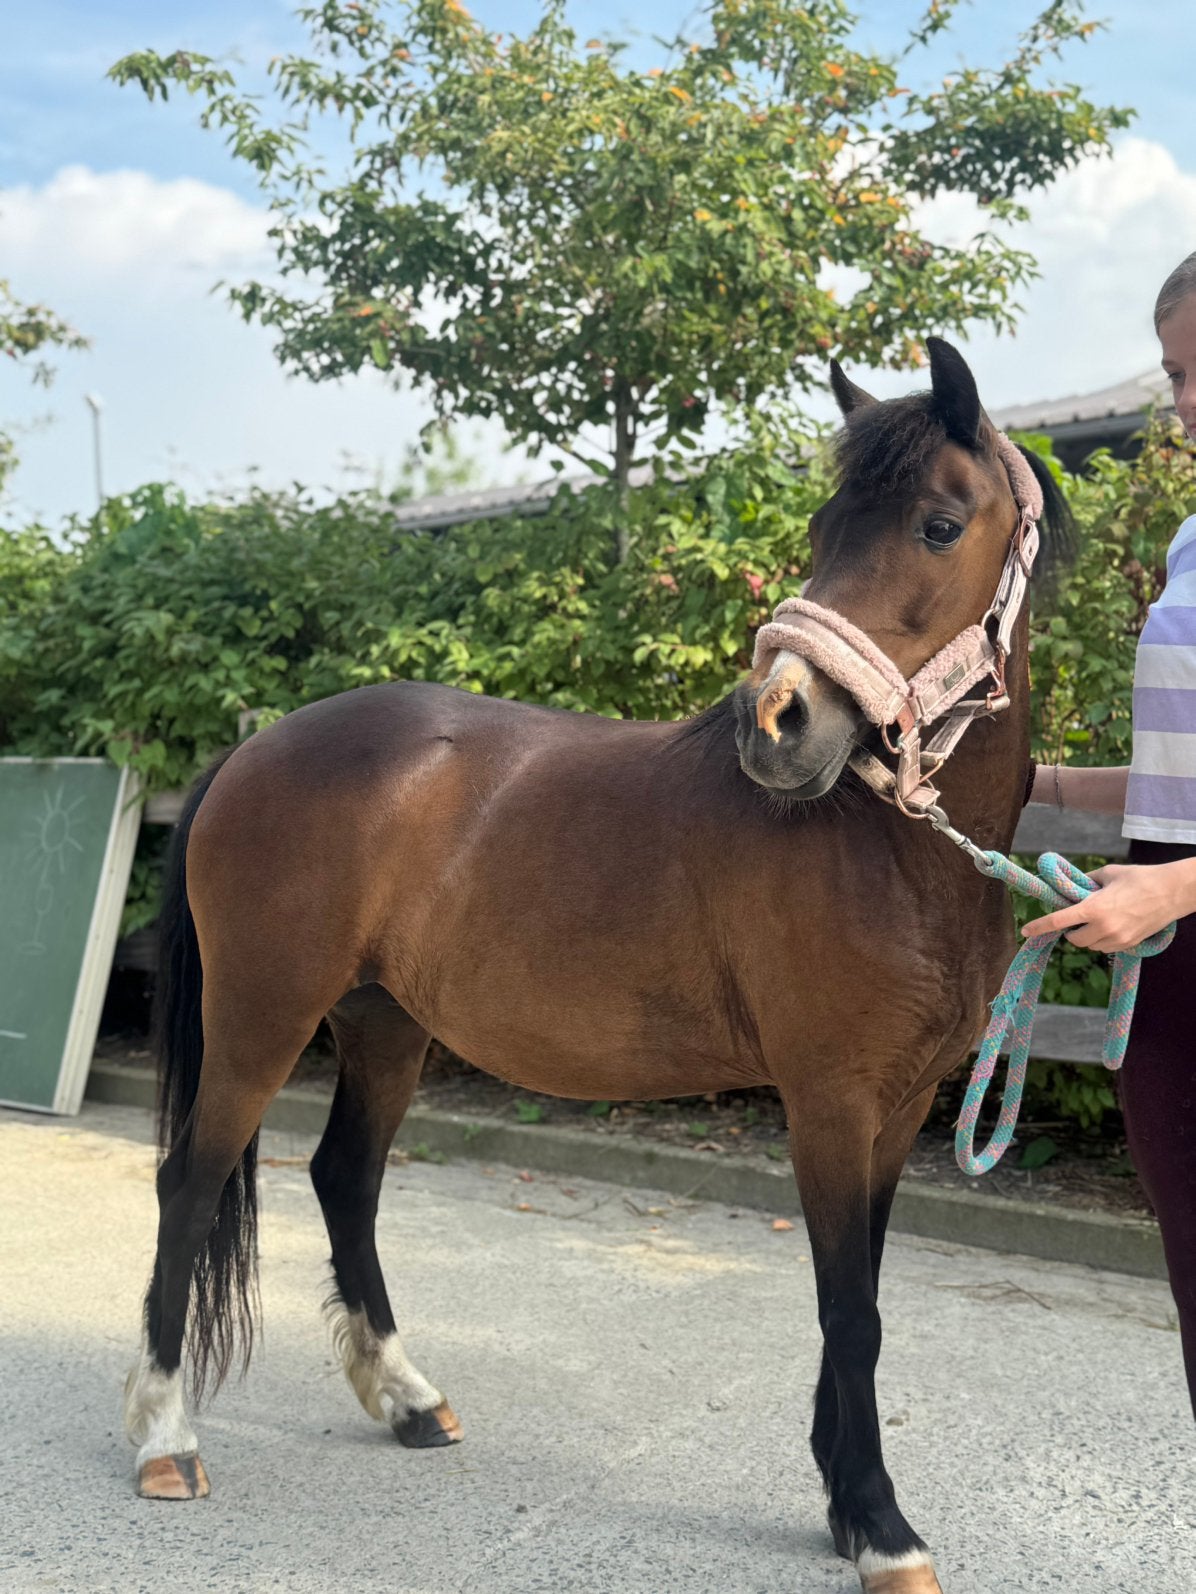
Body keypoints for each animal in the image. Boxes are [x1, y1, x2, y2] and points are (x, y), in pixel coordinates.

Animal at [122, 337, 1070, 1594]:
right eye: (826, 526)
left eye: (936, 523)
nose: (776, 724)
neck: (882, 844)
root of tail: (255, 746)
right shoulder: (829, 1100)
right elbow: (849, 1311)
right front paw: (879, 1525)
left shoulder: (900, 1104)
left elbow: (857, 1290)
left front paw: (840, 1497)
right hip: (261, 1017)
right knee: (190, 1181)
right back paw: (165, 1436)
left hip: (382, 1023)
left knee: (343, 1179)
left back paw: (406, 1398)